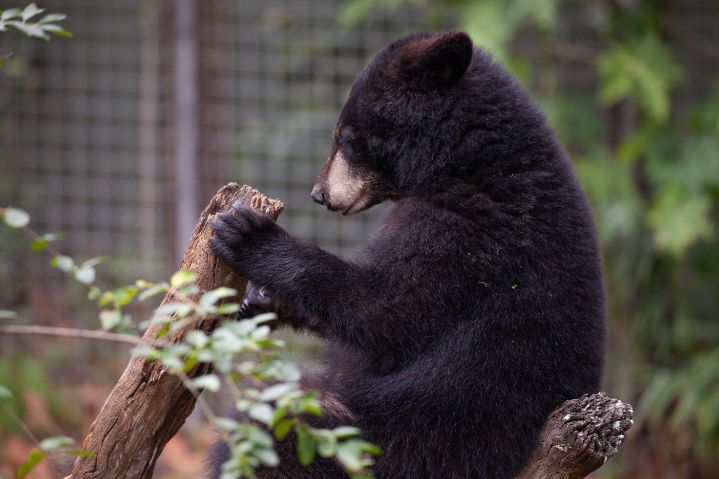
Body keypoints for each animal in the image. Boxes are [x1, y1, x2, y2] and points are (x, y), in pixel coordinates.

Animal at [208, 30, 605, 478]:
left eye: (348, 137)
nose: (318, 194)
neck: (470, 158)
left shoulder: (474, 228)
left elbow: (390, 306)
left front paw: (248, 235)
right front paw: (258, 299)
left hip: (423, 436)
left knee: (286, 436)